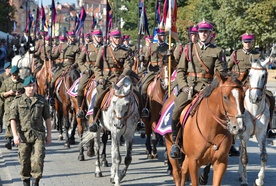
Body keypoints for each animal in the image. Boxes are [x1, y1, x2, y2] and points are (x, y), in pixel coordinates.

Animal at [238, 57, 270, 185]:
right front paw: (245, 180)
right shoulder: (244, 134)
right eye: (250, 74)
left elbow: (264, 156)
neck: (254, 108)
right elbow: (245, 158)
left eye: (263, 75)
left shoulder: (262, 134)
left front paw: (259, 180)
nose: (254, 98)